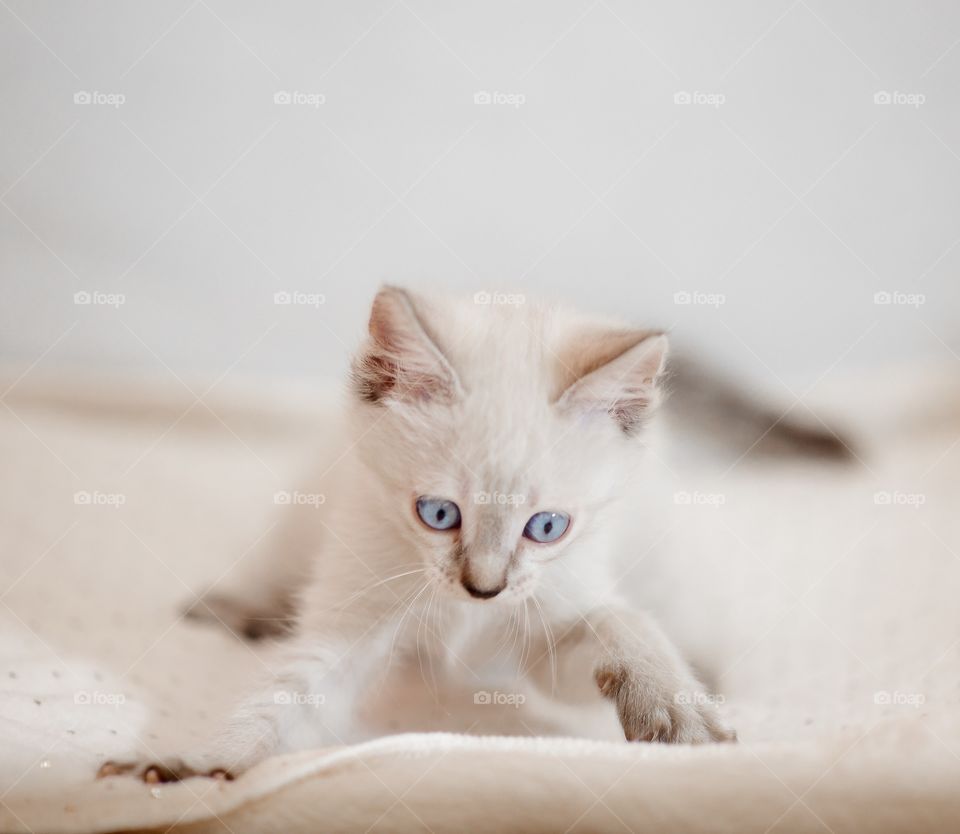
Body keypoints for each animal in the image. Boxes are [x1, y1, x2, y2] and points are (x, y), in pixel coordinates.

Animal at [101, 286, 736, 780]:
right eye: (438, 514)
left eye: (547, 527)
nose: (484, 589)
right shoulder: (350, 609)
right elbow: (284, 700)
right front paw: (200, 763)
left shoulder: (552, 619)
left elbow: (617, 621)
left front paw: (674, 706)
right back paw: (244, 606)